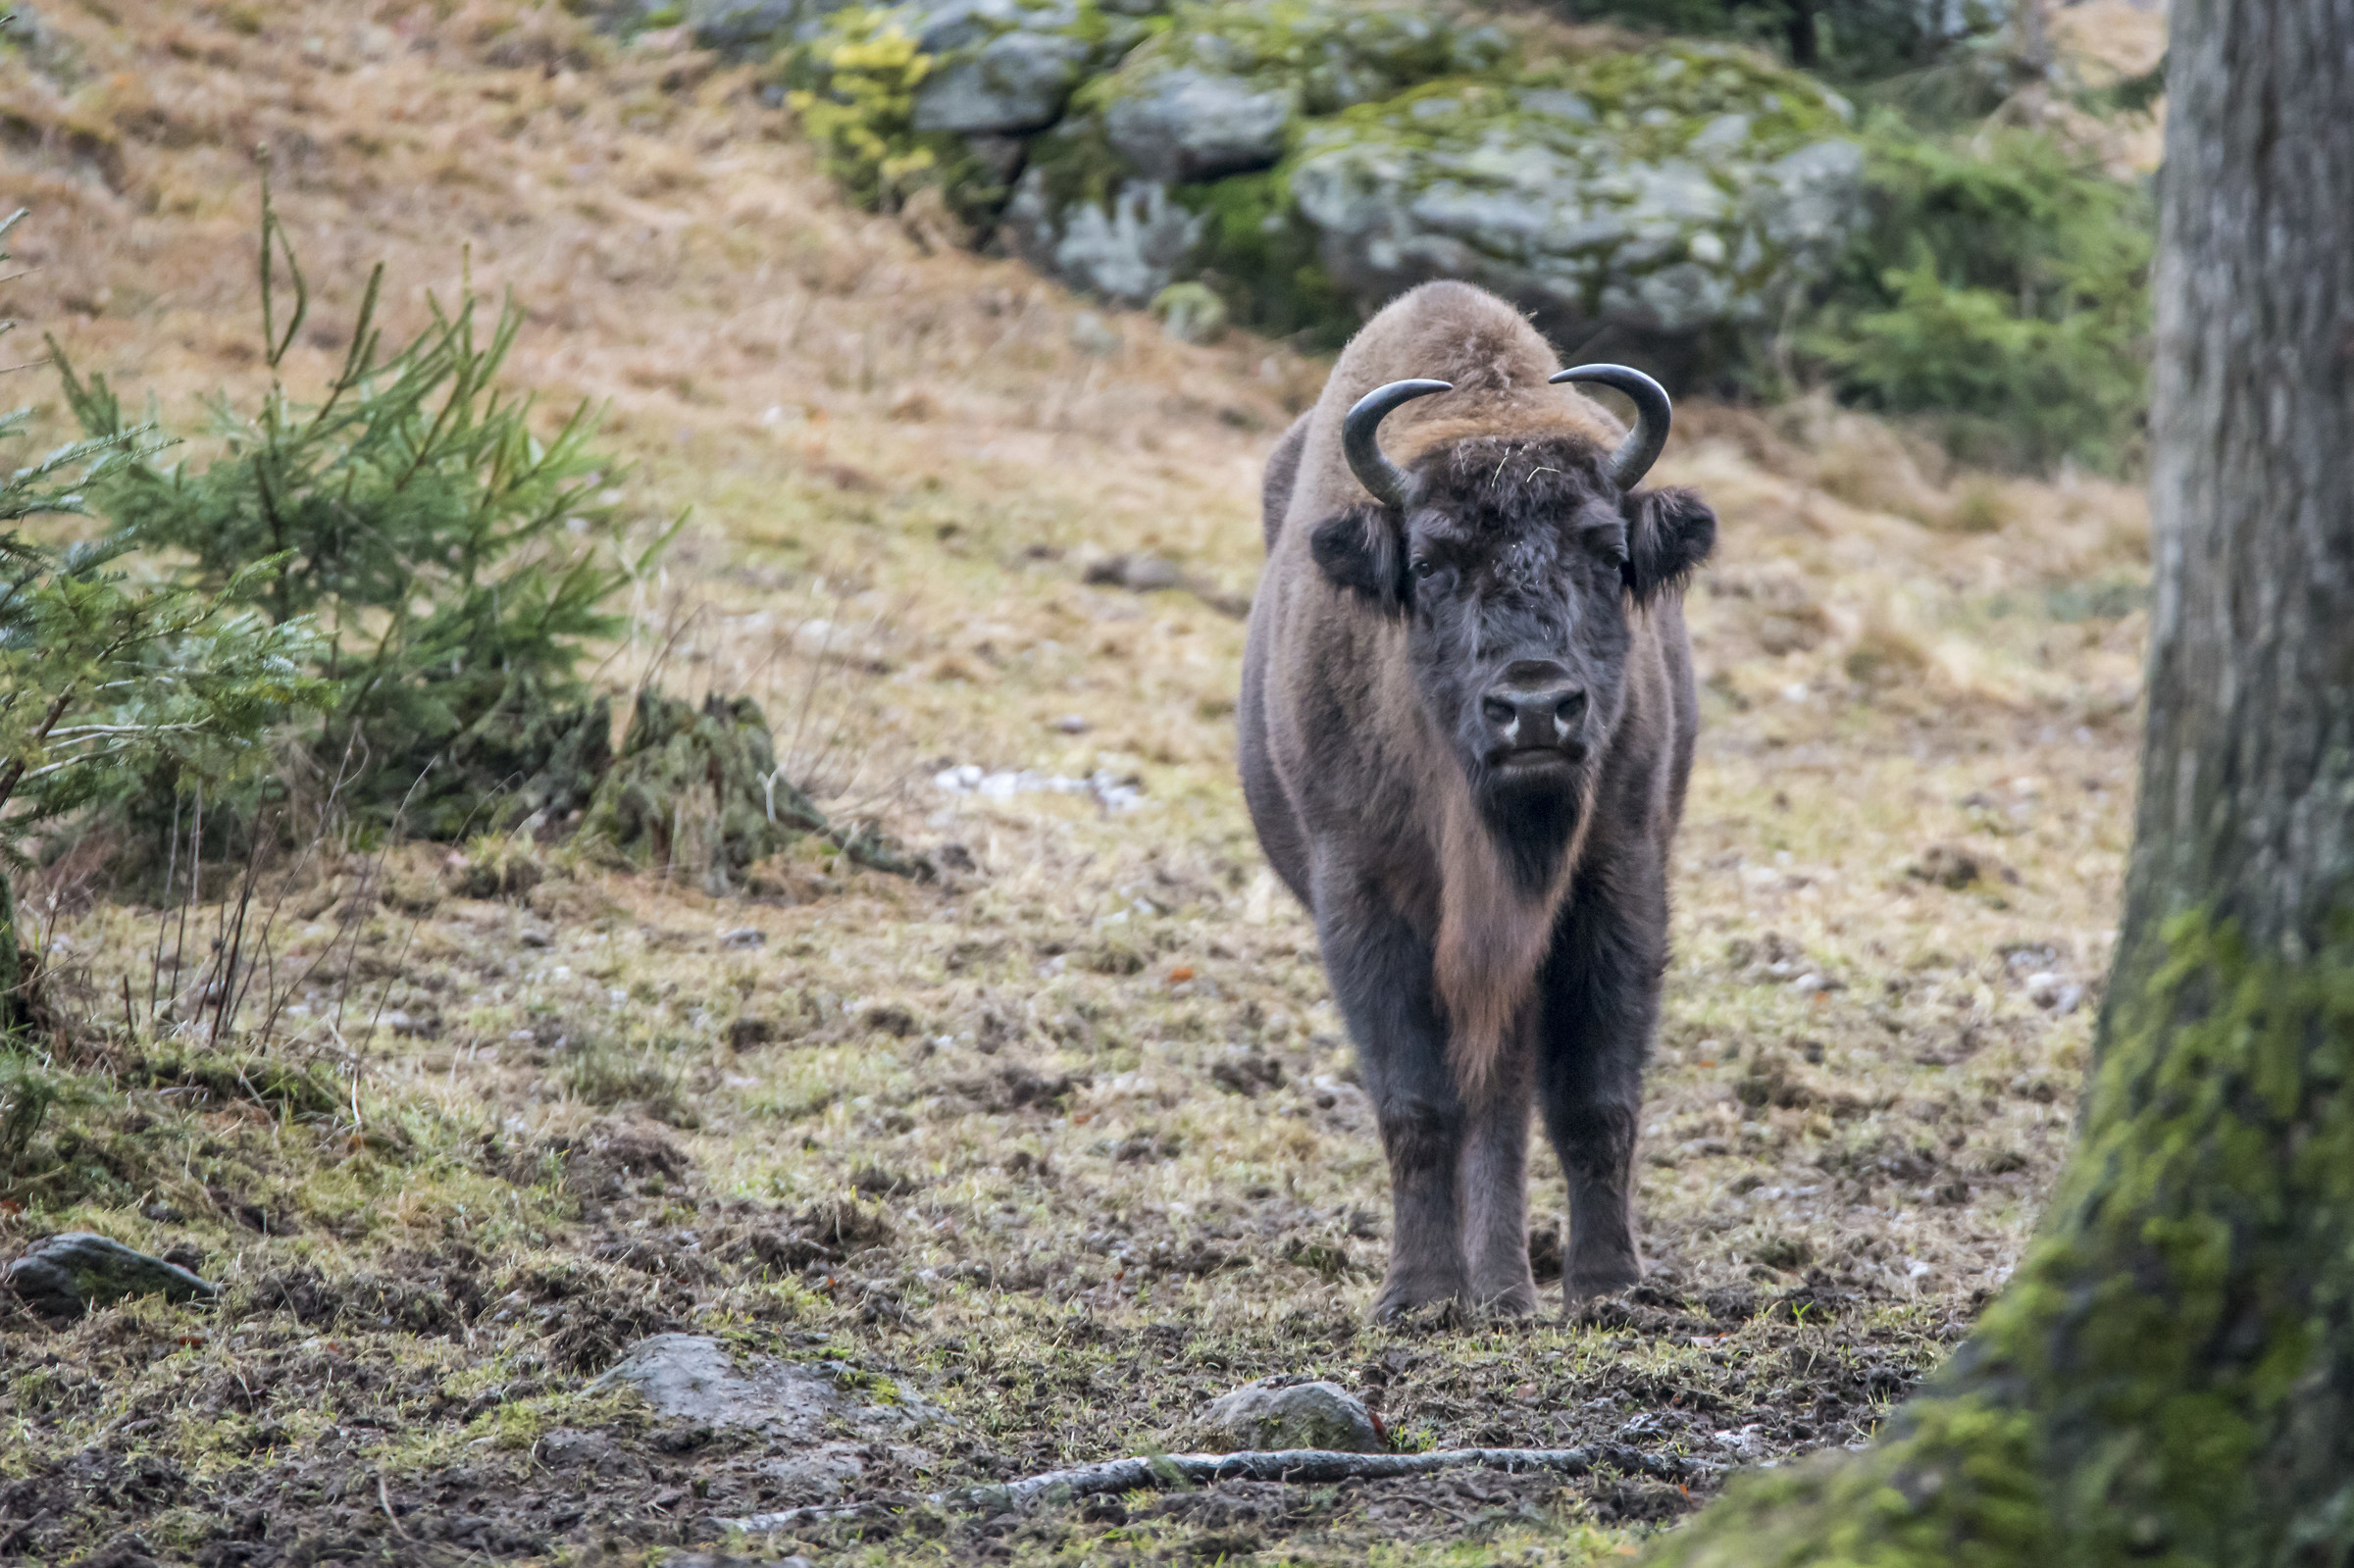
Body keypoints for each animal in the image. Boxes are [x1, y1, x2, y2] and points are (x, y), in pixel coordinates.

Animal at [1240, 281, 1717, 1315]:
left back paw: (1507, 1289)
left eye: (1606, 550)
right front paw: (1418, 1294)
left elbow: (1593, 1097)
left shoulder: (1617, 878)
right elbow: (1416, 1103)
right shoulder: (1364, 896)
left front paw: (1609, 1286)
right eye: (1430, 564)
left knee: (1508, 1091)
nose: (1534, 708)